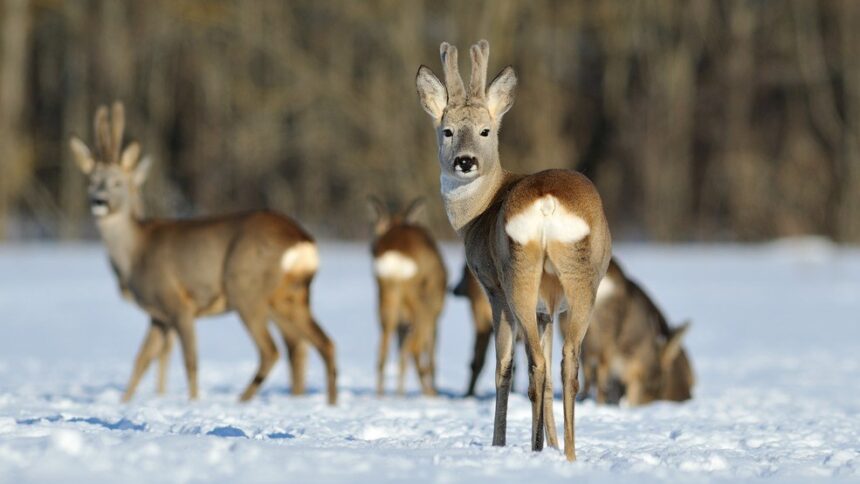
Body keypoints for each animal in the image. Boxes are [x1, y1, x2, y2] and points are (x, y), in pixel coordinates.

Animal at [69, 101, 338, 404]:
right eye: (91, 181)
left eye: (117, 182)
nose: (99, 202)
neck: (136, 251)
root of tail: (302, 239)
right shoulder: (158, 315)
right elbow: (141, 360)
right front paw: (124, 403)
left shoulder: (178, 303)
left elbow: (190, 361)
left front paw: (193, 402)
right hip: (290, 296)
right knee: (322, 343)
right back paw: (327, 403)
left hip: (246, 290)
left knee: (273, 350)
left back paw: (242, 401)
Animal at [370, 198, 450, 398]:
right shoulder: (435, 315)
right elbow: (430, 351)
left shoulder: (402, 324)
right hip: (422, 303)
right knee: (415, 349)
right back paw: (429, 391)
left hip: (386, 302)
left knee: (384, 352)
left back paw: (384, 395)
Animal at [416, 39, 612, 460]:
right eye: (447, 131)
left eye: (486, 130)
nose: (465, 161)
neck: (479, 212)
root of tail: (548, 203)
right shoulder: (548, 309)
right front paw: (550, 441)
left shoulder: (492, 288)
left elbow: (503, 366)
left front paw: (500, 442)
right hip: (579, 278)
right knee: (565, 363)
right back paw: (568, 454)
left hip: (516, 277)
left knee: (533, 364)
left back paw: (534, 449)